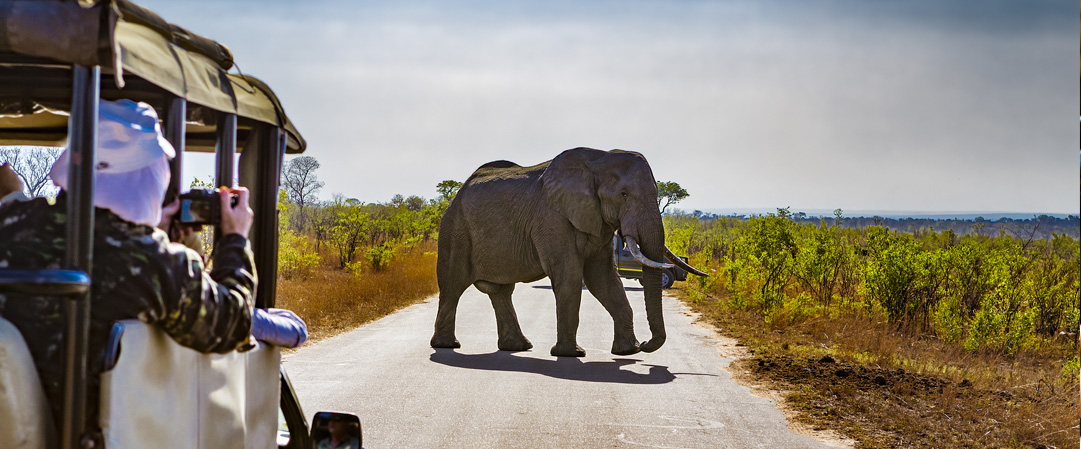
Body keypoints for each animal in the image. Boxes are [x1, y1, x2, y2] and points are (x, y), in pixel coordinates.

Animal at [430, 147, 709, 359]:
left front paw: (627, 352)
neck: (598, 160)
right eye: (623, 194)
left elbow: (604, 280)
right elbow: (570, 276)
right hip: (455, 229)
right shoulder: (551, 218)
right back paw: (447, 346)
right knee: (453, 284)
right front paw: (571, 354)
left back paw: (518, 347)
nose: (646, 345)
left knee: (500, 291)